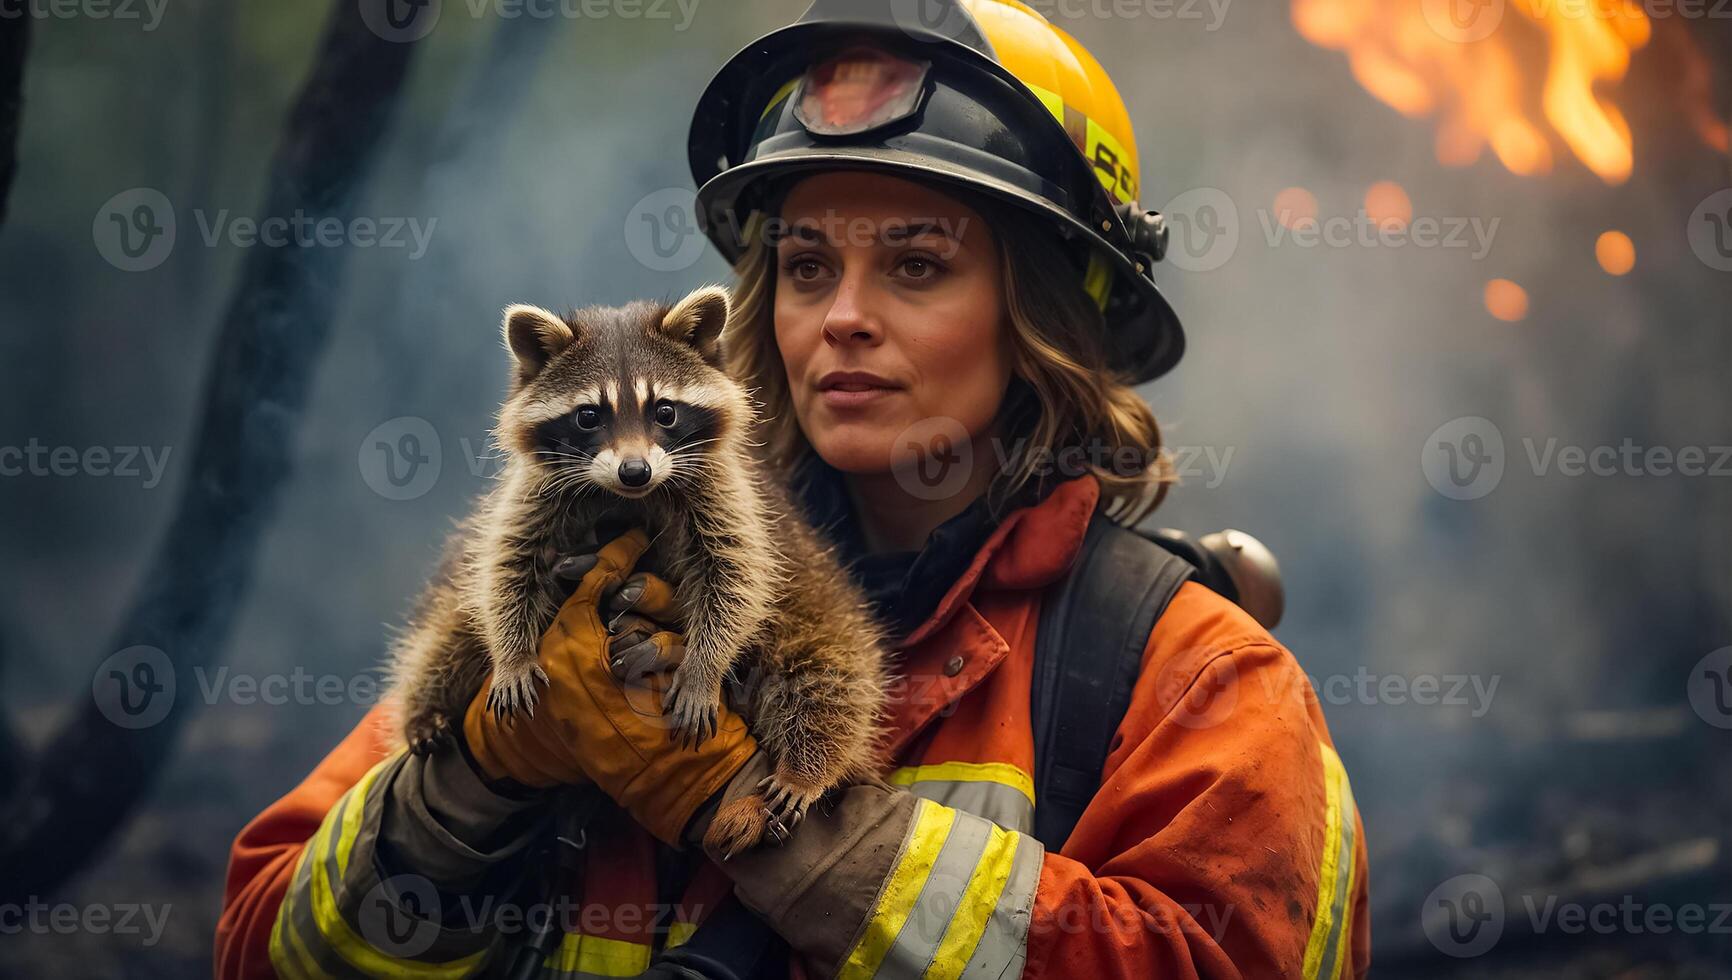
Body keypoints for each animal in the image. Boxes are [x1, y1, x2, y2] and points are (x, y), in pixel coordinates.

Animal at [386, 285, 886, 851]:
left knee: (828, 673)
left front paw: (703, 667)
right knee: (447, 635)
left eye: (664, 412)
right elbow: (506, 567)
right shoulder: (532, 497)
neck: (627, 497)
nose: (635, 471)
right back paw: (425, 708)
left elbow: (734, 578)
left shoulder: (729, 497)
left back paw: (807, 767)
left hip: (816, 600)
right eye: (588, 415)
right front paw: (511, 654)